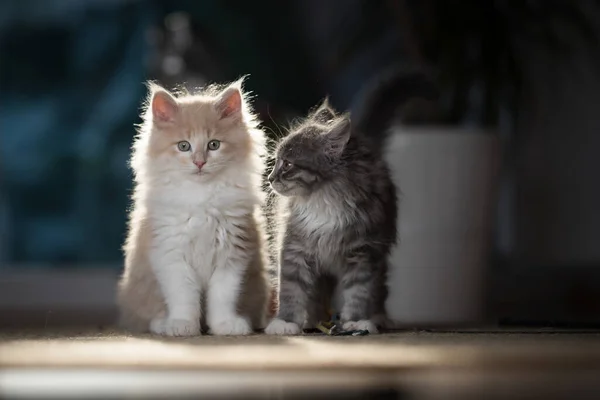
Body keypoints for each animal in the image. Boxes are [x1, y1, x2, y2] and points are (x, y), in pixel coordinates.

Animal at [116, 79, 270, 336]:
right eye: (183, 146)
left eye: (214, 145)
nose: (199, 162)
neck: (202, 199)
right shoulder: (171, 254)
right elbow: (183, 297)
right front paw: (182, 325)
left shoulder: (233, 253)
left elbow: (223, 297)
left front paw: (225, 325)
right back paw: (162, 323)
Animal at [264, 68, 438, 334]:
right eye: (275, 161)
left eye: (289, 164)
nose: (271, 178)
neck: (322, 198)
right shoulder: (295, 248)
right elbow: (291, 290)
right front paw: (285, 322)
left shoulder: (364, 252)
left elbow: (360, 291)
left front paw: (357, 320)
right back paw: (313, 319)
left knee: (379, 289)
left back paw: (377, 317)